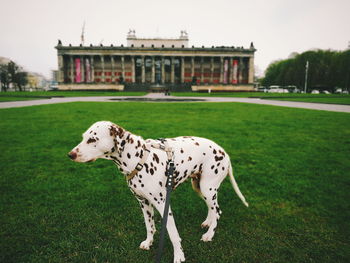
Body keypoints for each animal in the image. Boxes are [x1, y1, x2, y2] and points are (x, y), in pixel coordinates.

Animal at [68, 121, 249, 263]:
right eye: (83, 137)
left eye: (92, 139)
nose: (70, 155)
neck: (138, 158)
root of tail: (224, 152)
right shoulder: (143, 203)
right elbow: (150, 226)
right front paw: (148, 242)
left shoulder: (163, 205)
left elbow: (173, 234)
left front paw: (179, 256)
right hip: (199, 187)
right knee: (212, 209)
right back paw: (207, 223)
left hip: (207, 188)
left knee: (218, 211)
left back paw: (209, 234)